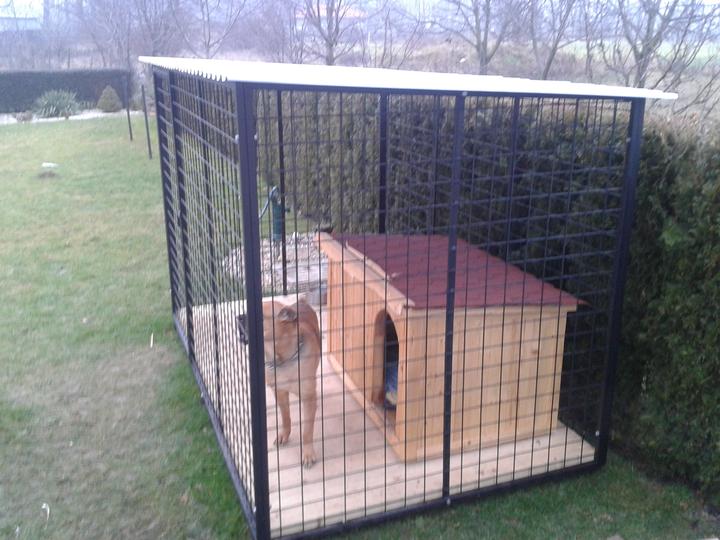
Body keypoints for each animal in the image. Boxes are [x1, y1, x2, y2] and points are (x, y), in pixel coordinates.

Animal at [238, 299, 321, 468]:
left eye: (259, 316)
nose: (238, 317)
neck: (282, 360)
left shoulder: (308, 397)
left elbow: (307, 430)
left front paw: (308, 453)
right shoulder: (279, 392)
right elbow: (285, 416)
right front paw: (284, 434)